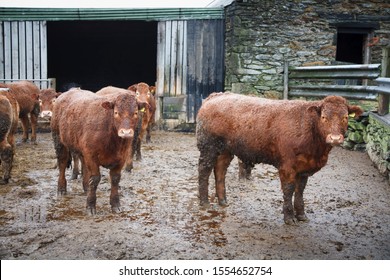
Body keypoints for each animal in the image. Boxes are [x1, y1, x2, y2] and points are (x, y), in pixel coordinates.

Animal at [197, 93, 364, 225]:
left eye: (345, 117)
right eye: (323, 117)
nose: (335, 138)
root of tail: (216, 96)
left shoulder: (304, 168)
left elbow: (300, 190)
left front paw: (301, 214)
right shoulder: (287, 166)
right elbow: (289, 189)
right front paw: (289, 217)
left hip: (225, 150)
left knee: (220, 170)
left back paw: (223, 201)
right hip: (208, 146)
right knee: (204, 171)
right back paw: (204, 202)